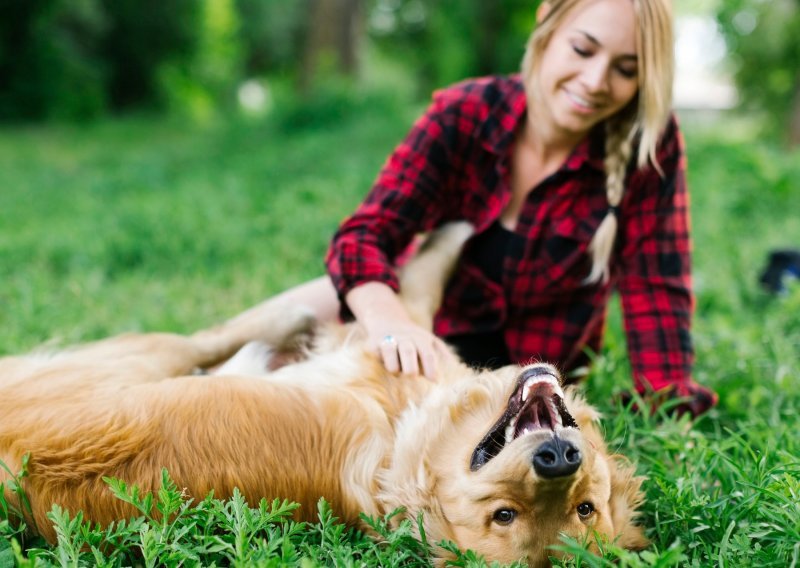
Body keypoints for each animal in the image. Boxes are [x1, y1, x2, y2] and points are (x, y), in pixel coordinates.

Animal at [0, 224, 648, 564]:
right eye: (505, 515)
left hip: (139, 357)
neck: (397, 460)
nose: (559, 457)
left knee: (212, 339)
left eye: (580, 507)